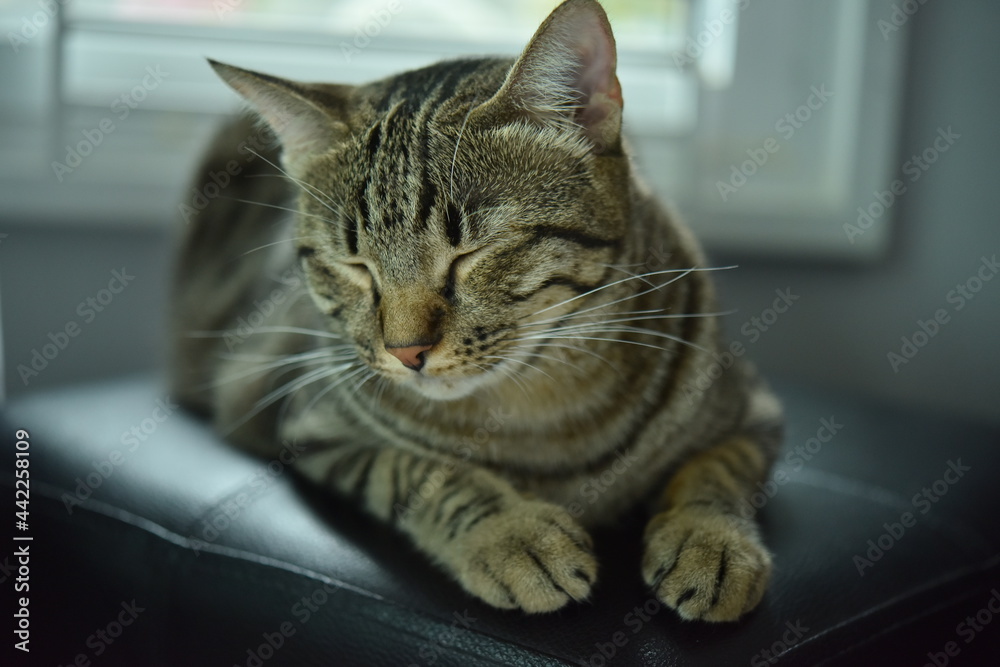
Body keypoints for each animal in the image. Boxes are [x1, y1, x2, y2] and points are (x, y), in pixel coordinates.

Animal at [170, 0, 780, 620]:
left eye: (471, 254)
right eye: (355, 266)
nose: (406, 351)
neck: (545, 409)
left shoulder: (754, 411)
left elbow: (718, 470)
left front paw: (712, 544)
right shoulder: (313, 425)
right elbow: (420, 472)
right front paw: (512, 534)